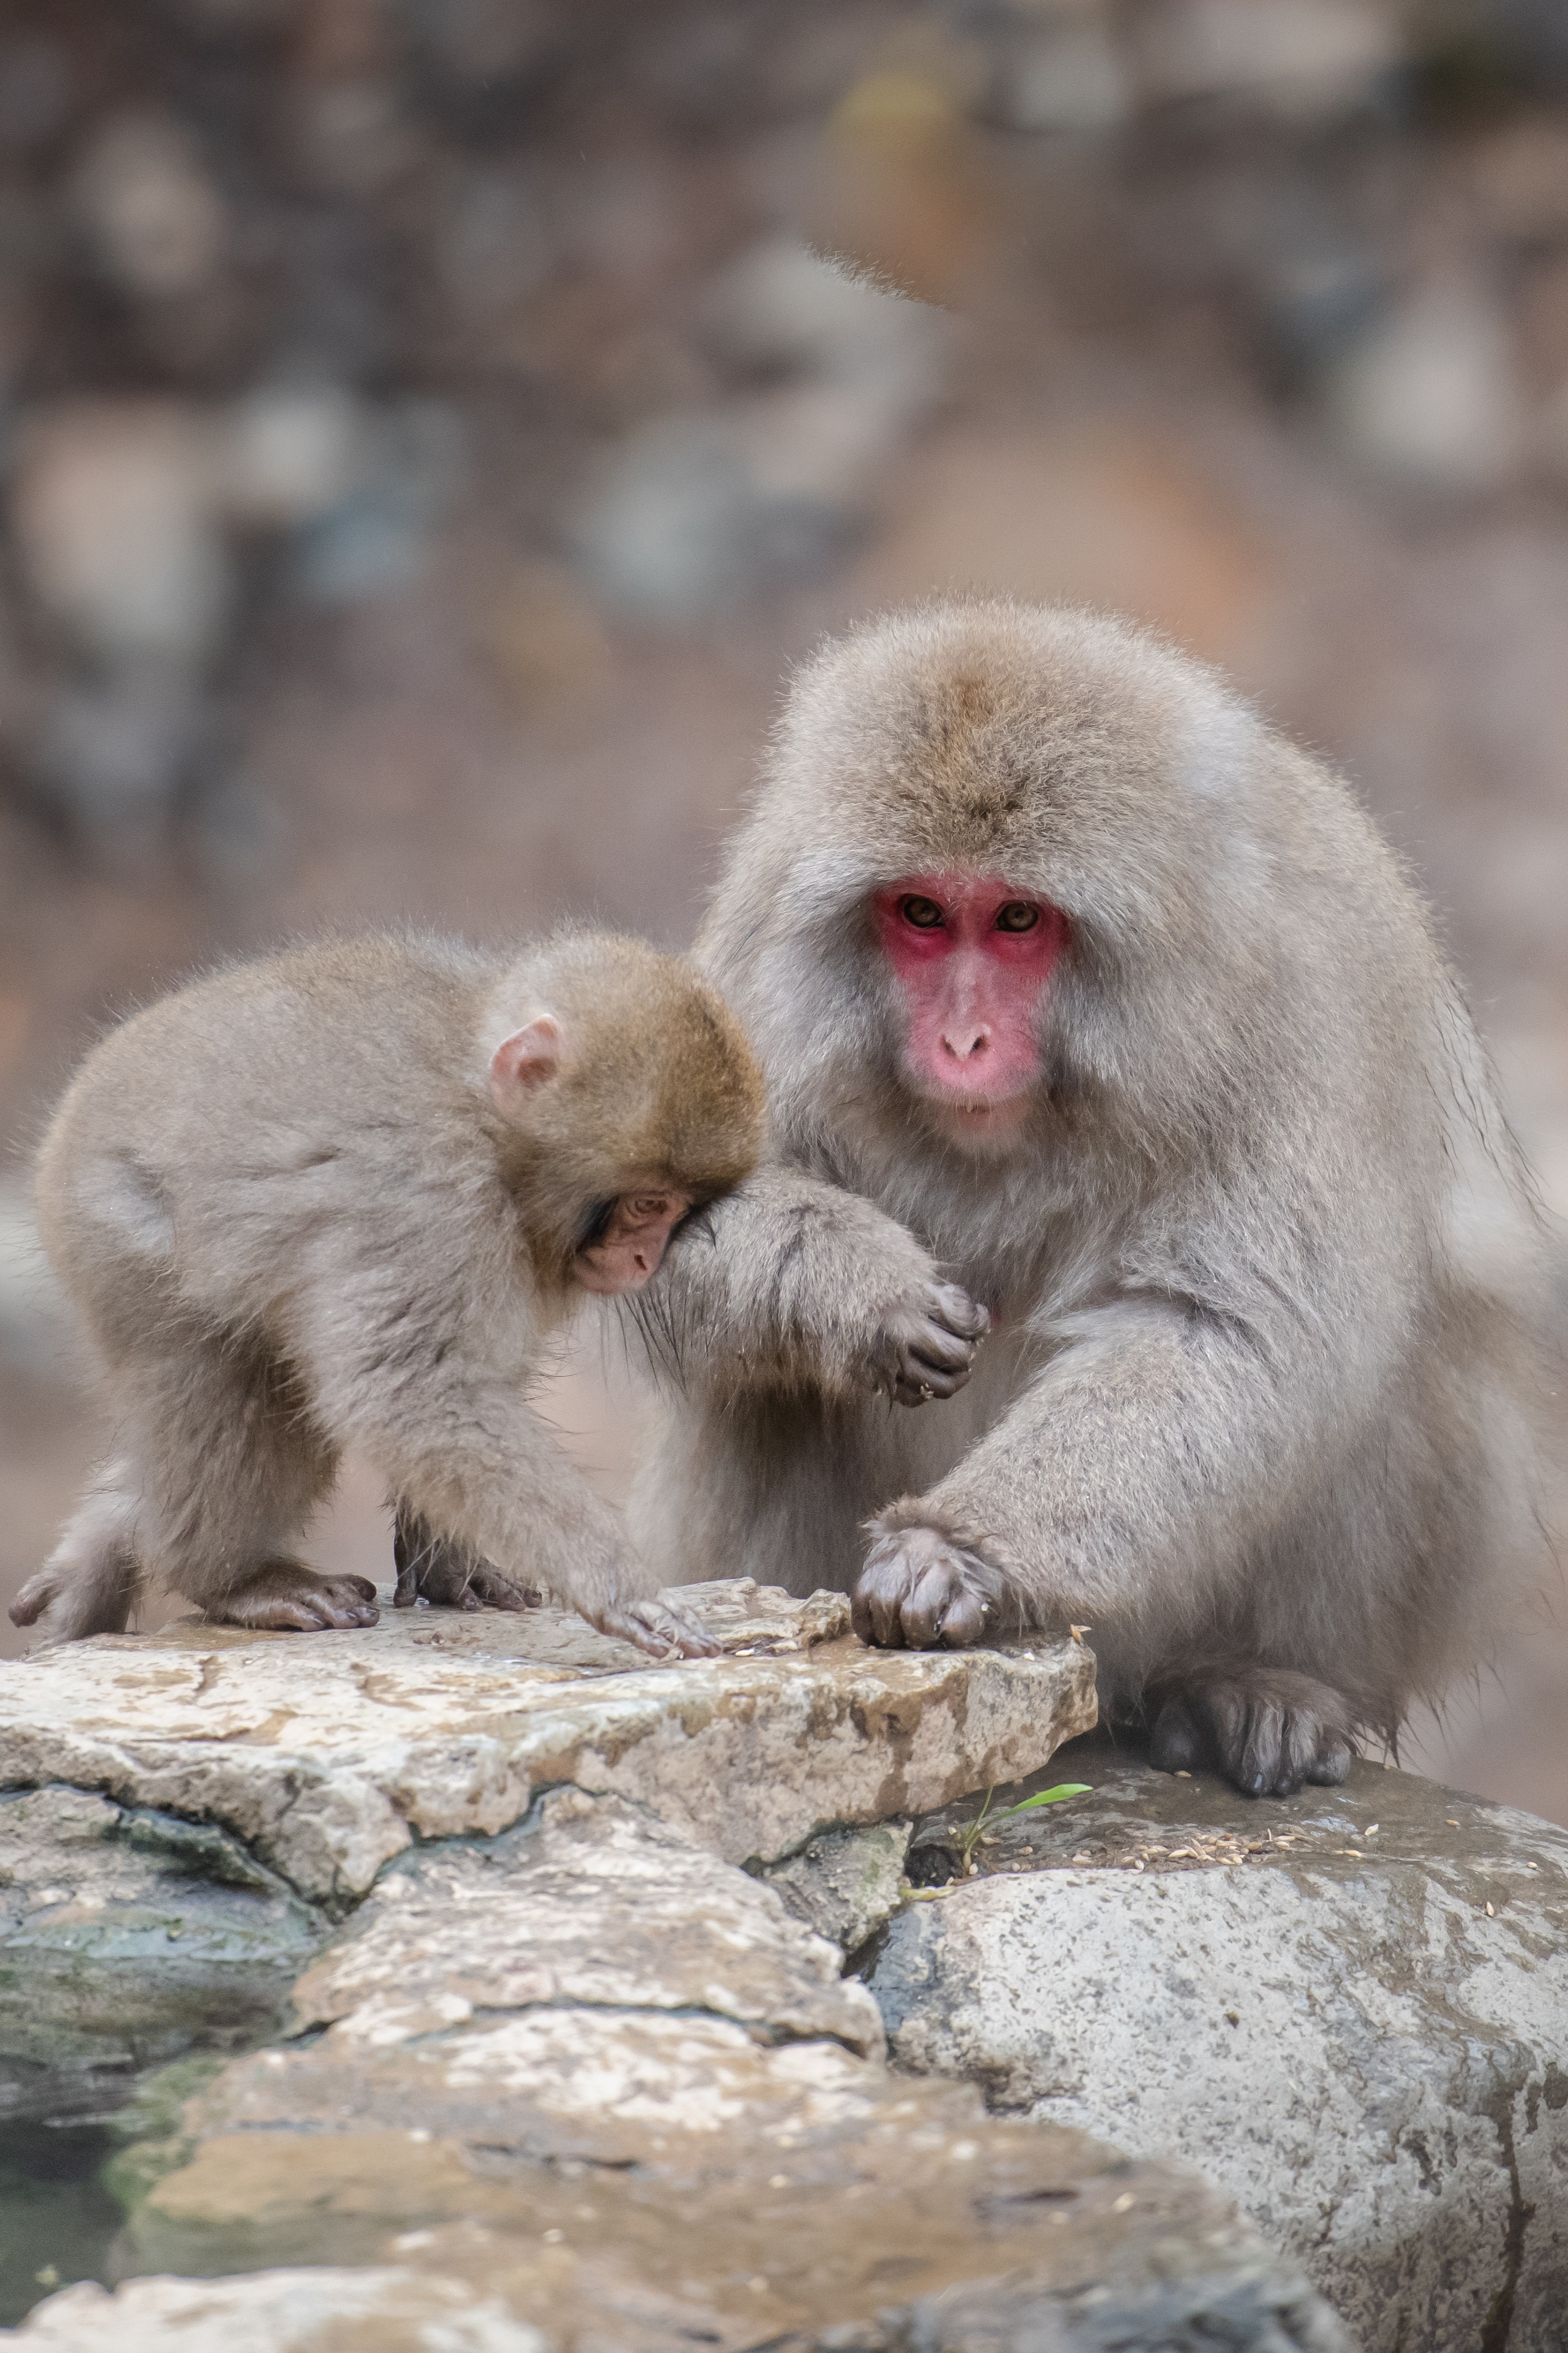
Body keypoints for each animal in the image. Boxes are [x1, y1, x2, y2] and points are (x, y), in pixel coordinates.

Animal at [15, 932, 761, 1656]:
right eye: (646, 1203)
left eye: (678, 1211)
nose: (642, 1258)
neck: (489, 1124)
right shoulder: (426, 1193)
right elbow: (410, 1389)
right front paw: (612, 1582)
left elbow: (464, 1383)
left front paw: (448, 1560)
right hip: (119, 1238)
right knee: (236, 1391)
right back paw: (233, 1579)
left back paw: (107, 1538)